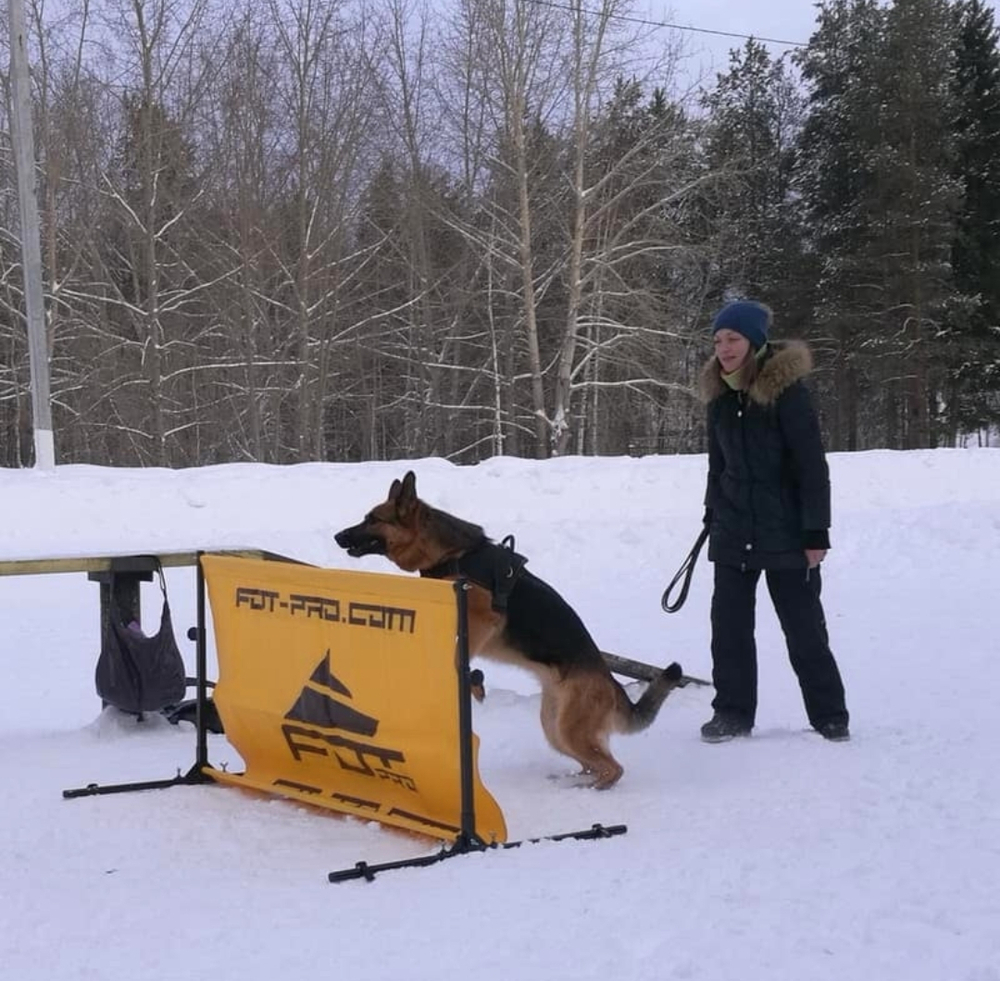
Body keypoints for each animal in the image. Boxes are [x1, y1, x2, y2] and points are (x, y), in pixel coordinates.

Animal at [332, 468, 684, 788]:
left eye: (373, 519)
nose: (338, 537)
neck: (452, 554)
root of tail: (612, 685)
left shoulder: (482, 619)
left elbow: (459, 656)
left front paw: (473, 681)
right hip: (555, 728)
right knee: (594, 764)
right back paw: (570, 781)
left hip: (570, 730)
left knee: (614, 769)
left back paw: (589, 790)